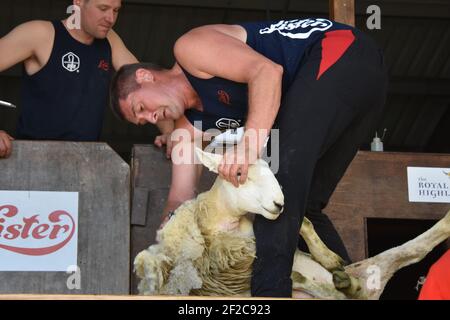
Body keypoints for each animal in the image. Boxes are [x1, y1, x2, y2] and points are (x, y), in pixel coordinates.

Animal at [135, 149, 450, 298]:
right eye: (241, 175)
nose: (278, 203)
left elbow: (303, 221)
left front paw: (328, 256)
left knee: (412, 251)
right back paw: (332, 283)